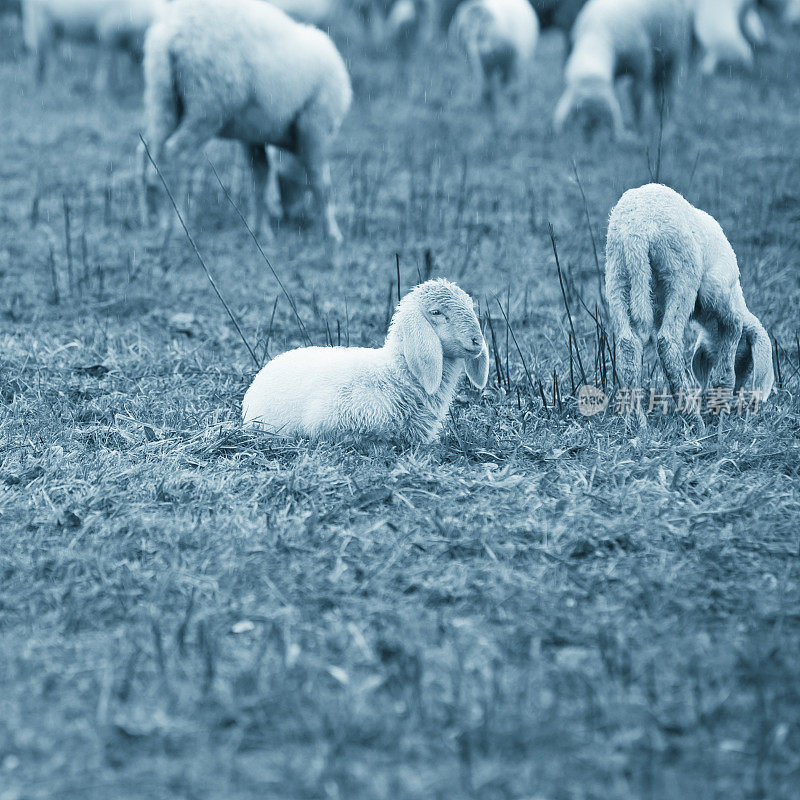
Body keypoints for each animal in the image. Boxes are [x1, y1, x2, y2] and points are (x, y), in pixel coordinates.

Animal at [139, 0, 352, 241]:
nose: (287, 217)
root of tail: (172, 32)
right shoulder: (314, 127)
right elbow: (321, 183)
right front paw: (333, 234)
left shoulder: (255, 136)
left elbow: (261, 177)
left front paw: (260, 230)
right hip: (207, 106)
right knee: (175, 154)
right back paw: (175, 225)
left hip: (163, 98)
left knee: (150, 155)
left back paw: (155, 221)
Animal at [552, 0, 692, 138]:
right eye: (579, 115)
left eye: (604, 119)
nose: (593, 138)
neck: (596, 35)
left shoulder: (642, 63)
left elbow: (636, 97)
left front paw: (639, 131)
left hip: (674, 53)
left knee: (667, 92)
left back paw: (668, 128)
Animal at [608, 184, 776, 428]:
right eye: (747, 362)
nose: (739, 392)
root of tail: (636, 231)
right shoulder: (721, 297)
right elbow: (729, 347)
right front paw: (722, 403)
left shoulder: (659, 311)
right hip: (680, 274)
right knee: (667, 341)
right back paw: (694, 419)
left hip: (617, 274)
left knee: (627, 344)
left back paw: (635, 422)